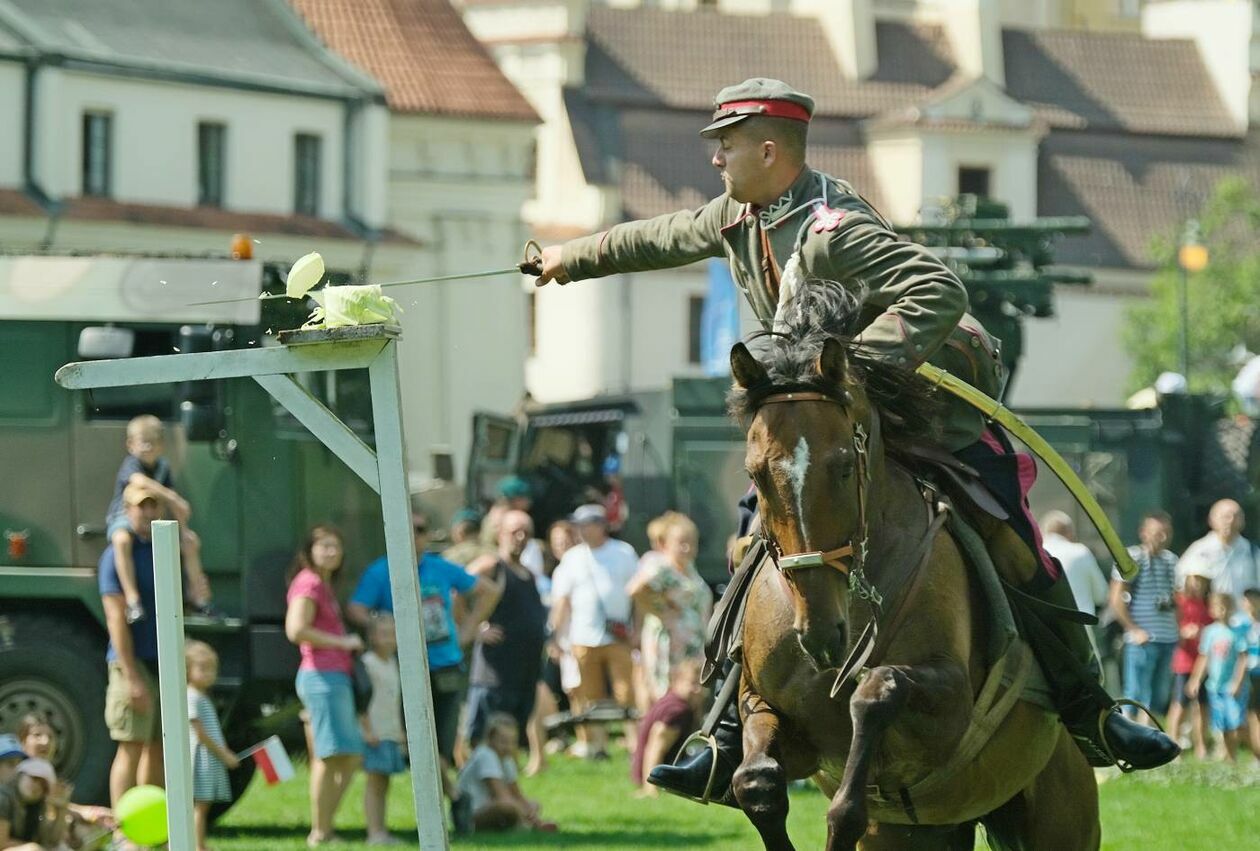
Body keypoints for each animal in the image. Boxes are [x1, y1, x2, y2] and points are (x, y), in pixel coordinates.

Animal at [725, 286, 1098, 851]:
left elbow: (877, 696)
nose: (820, 632)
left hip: (1058, 819)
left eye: (843, 465)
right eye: (757, 473)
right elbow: (756, 783)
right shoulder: (769, 710)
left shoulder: (951, 706)